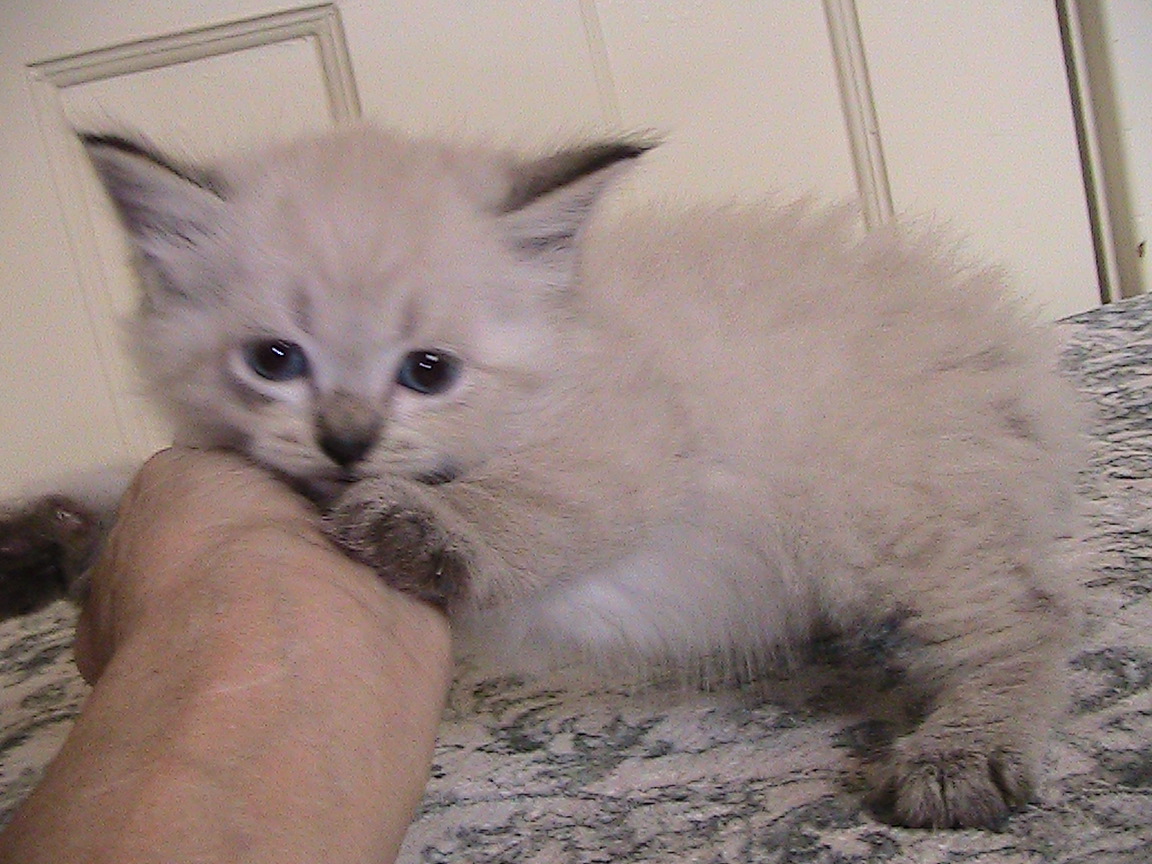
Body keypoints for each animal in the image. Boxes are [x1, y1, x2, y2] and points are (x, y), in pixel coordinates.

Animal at [0, 125, 1085, 829]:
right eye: (276, 360)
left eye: (427, 372)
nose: (347, 441)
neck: (567, 338)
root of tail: (994, 335)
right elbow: (119, 474)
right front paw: (38, 536)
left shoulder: (631, 444)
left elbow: (522, 503)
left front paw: (421, 525)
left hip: (888, 519)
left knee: (1026, 616)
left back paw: (962, 758)